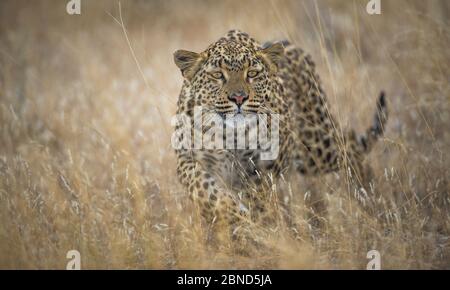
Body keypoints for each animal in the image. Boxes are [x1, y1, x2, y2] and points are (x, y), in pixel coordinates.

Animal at [171, 28, 386, 238]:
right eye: (217, 75)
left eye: (252, 73)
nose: (239, 98)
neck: (230, 134)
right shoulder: (187, 159)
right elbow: (205, 192)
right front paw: (236, 216)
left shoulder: (266, 165)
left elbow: (258, 197)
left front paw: (254, 224)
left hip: (317, 145)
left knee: (349, 146)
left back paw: (366, 193)